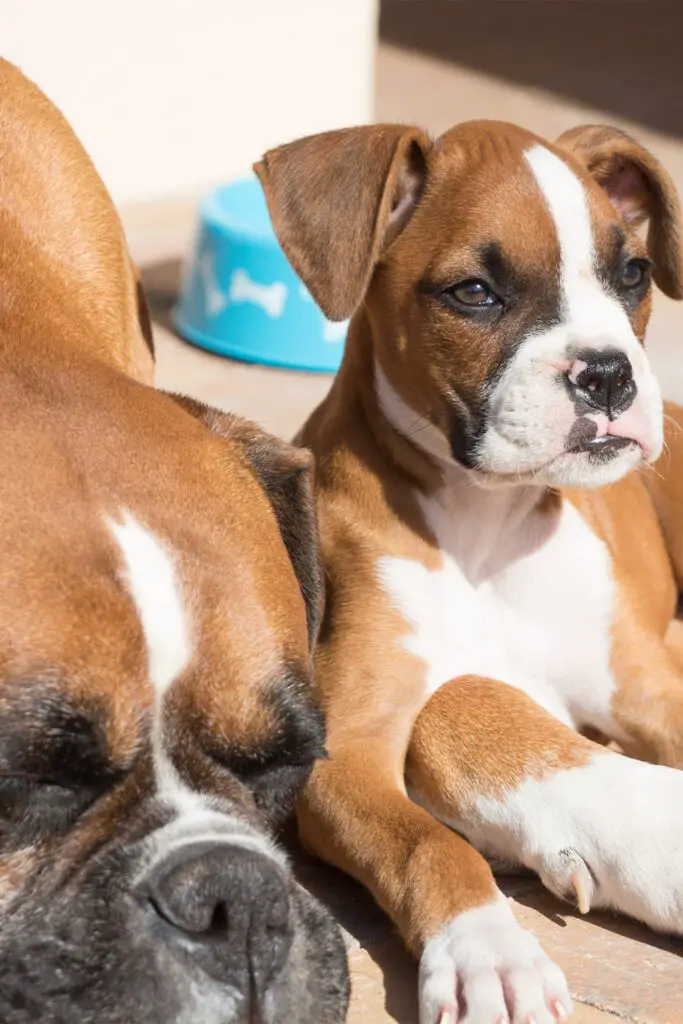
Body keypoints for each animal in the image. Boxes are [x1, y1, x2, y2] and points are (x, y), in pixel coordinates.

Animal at [254, 121, 683, 1024]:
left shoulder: (649, 693)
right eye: (474, 293)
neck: (489, 526)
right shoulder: (346, 754)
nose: (606, 373)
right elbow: (428, 846)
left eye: (630, 274)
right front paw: (490, 949)